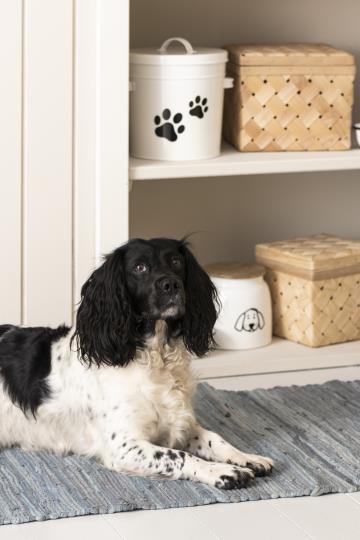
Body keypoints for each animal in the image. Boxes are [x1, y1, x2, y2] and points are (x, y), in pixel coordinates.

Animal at [0, 238, 272, 488]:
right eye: (140, 267)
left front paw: (248, 457)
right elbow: (179, 455)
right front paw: (223, 472)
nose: (171, 284)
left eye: (176, 261)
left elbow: (216, 438)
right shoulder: (124, 446)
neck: (156, 357)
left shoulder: (182, 423)